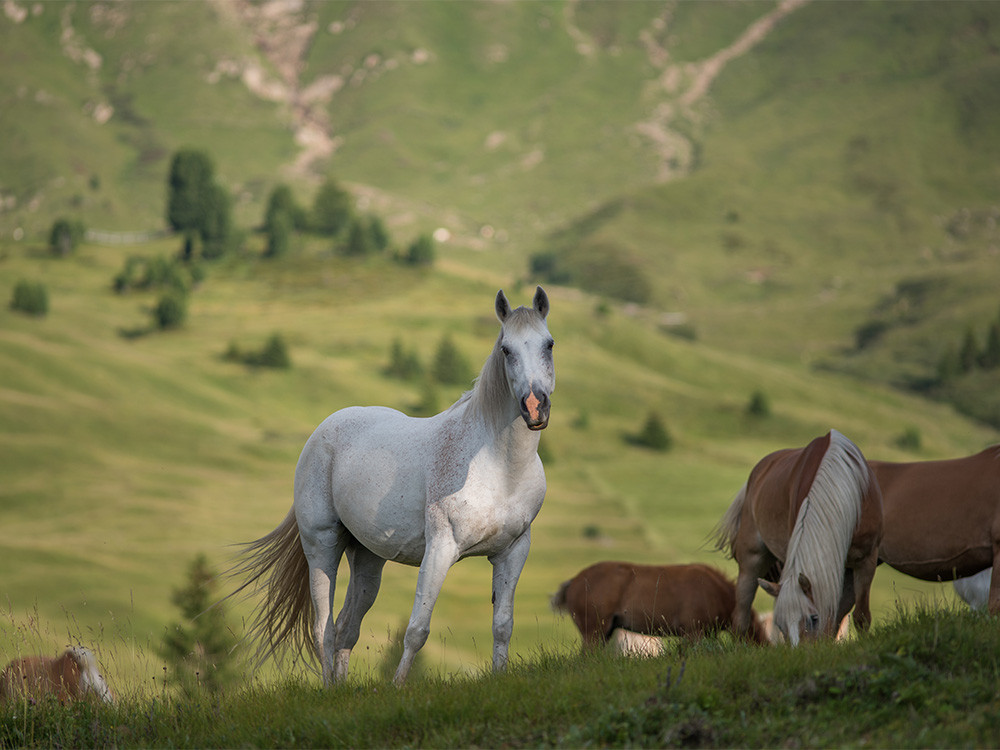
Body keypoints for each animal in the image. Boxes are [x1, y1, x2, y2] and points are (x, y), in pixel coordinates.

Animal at [234, 288, 556, 688]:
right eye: (506, 349)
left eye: (549, 344)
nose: (535, 406)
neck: (499, 467)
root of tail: (323, 431)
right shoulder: (440, 549)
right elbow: (417, 629)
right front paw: (399, 686)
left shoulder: (513, 551)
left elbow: (502, 625)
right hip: (322, 546)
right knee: (323, 627)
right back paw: (328, 689)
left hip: (368, 558)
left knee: (346, 626)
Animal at [712, 432, 884, 648]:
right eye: (781, 624)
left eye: (813, 618)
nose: (799, 651)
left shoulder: (866, 560)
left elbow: (859, 616)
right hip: (752, 559)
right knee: (741, 615)